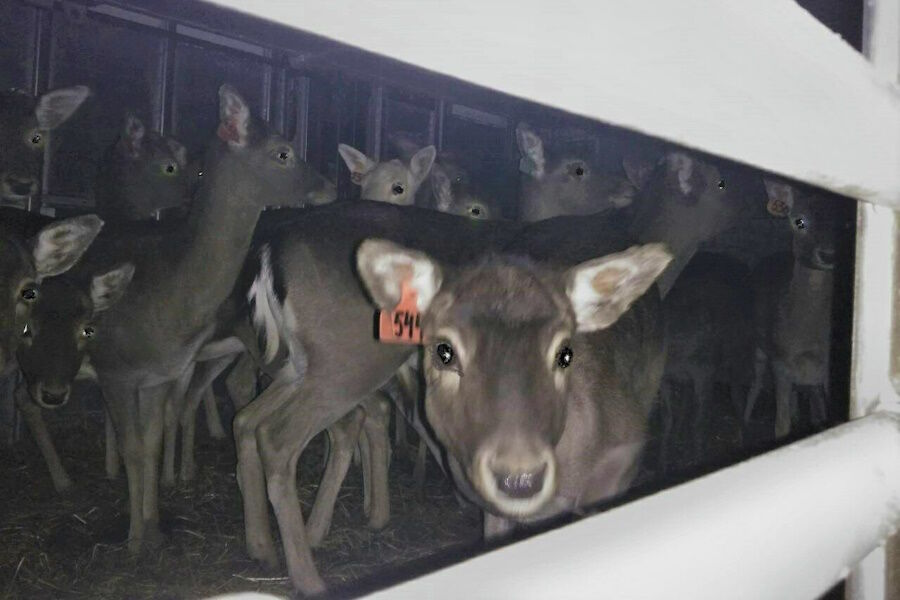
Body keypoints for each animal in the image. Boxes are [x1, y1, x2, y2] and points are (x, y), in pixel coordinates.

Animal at [62, 84, 334, 554]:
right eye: (282, 152)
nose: (329, 185)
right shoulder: (116, 367)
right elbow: (137, 444)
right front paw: (138, 538)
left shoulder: (162, 371)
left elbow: (153, 438)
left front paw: (153, 521)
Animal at [230, 200, 668, 593]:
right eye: (446, 350)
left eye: (564, 352)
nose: (518, 478)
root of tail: (270, 250)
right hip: (342, 362)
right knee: (280, 436)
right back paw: (309, 576)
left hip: (301, 364)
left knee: (249, 419)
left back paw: (263, 547)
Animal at [744, 181, 845, 439]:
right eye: (799, 221)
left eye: (843, 223)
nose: (828, 254)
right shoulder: (780, 361)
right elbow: (781, 424)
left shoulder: (828, 369)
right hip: (759, 343)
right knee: (757, 379)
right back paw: (745, 420)